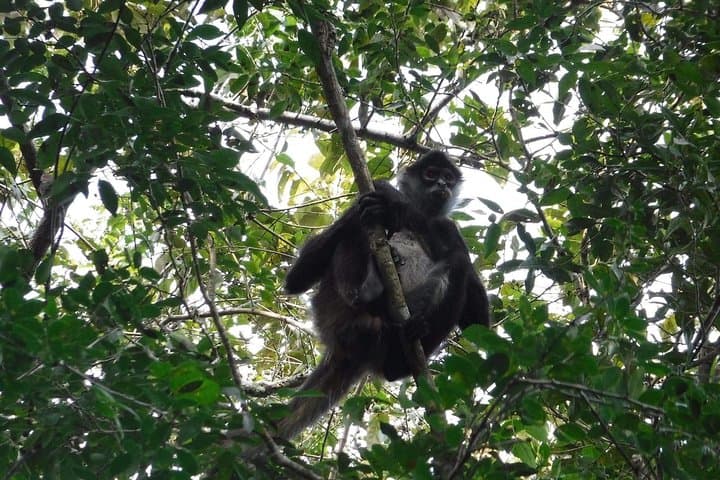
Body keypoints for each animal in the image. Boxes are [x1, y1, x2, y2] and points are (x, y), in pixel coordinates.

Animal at [278, 150, 490, 439]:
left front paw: (398, 207)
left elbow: (479, 323)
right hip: (331, 308)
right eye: (431, 174)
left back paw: (403, 345)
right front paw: (387, 196)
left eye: (447, 177)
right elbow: (296, 279)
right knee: (354, 232)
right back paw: (372, 290)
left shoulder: (448, 227)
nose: (442, 185)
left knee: (456, 262)